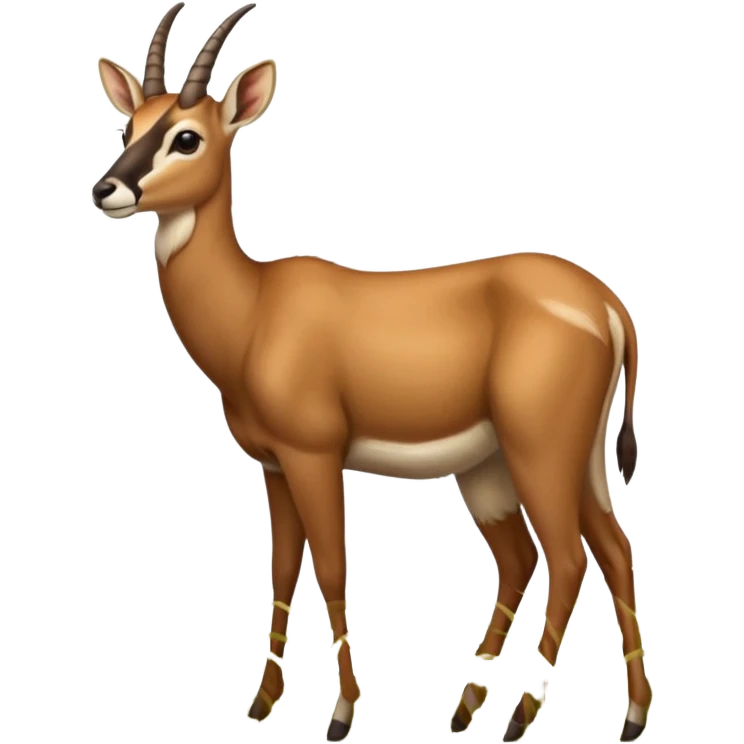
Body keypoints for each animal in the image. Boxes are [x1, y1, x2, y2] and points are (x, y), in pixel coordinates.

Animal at [92, 3, 650, 742]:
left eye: (186, 137)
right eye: (131, 127)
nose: (107, 189)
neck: (256, 309)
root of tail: (608, 305)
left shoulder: (315, 455)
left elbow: (332, 569)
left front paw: (341, 712)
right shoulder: (274, 466)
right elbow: (279, 572)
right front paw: (261, 704)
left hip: (540, 453)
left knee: (567, 557)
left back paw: (518, 718)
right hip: (522, 464)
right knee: (593, 550)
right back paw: (583, 713)